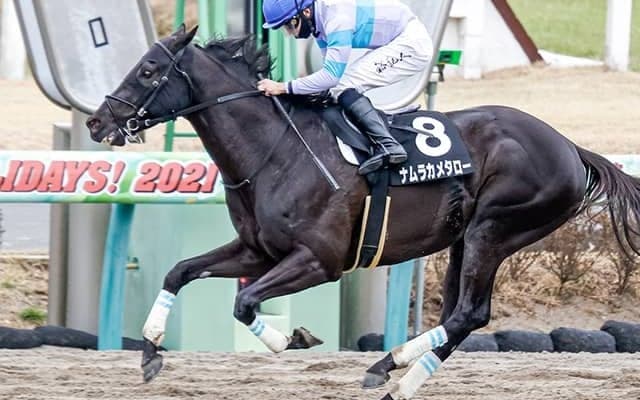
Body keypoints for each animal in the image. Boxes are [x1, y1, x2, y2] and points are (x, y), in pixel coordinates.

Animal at [86, 25, 640, 399]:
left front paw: (293, 338)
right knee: (459, 315)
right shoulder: (257, 251)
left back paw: (393, 368)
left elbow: (244, 304)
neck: (276, 149)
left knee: (470, 312)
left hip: (494, 229)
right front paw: (150, 351)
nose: (97, 122)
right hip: (464, 239)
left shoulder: (320, 260)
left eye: (148, 70)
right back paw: (394, 371)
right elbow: (180, 271)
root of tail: (570, 147)